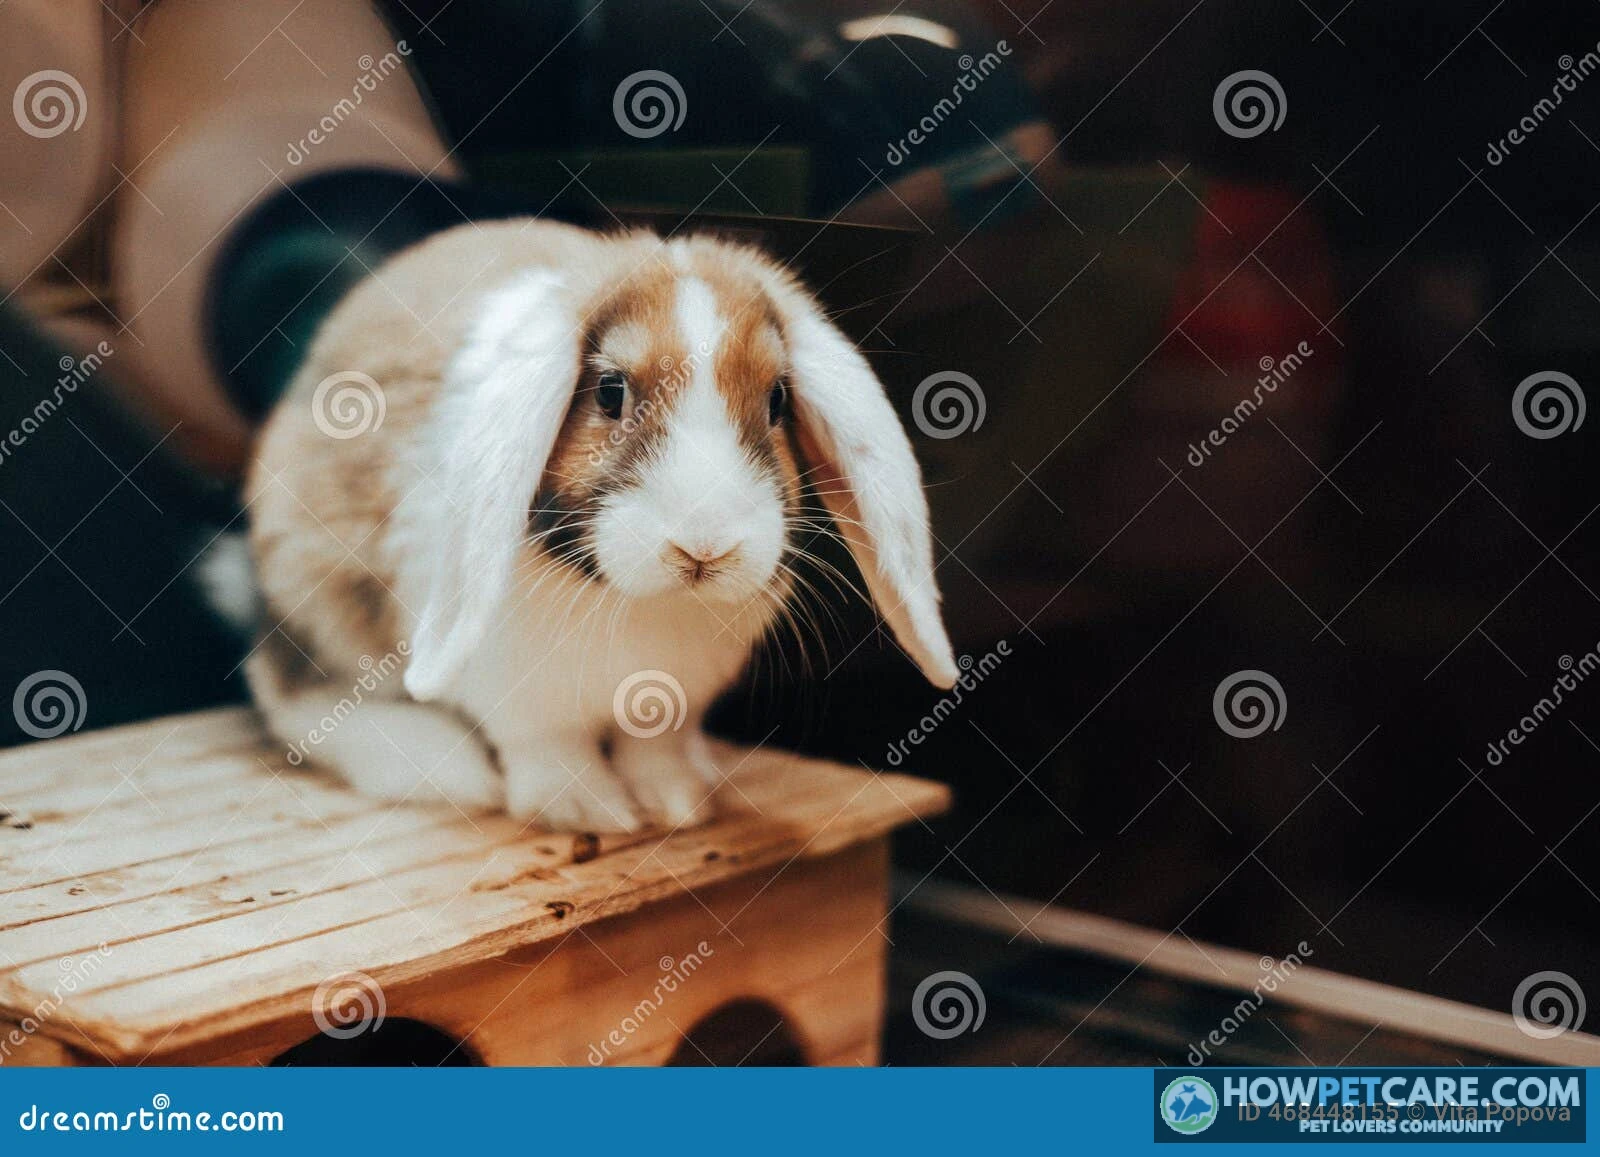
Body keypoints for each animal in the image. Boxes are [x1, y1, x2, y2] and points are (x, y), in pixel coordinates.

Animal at [244, 218, 957, 832]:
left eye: (778, 399)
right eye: (610, 392)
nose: (705, 547)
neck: (641, 602)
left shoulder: (674, 706)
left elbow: (657, 750)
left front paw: (678, 806)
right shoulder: (523, 701)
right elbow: (550, 748)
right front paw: (591, 813)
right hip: (314, 592)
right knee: (293, 693)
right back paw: (444, 772)